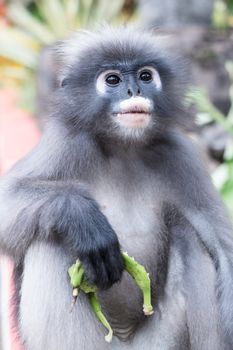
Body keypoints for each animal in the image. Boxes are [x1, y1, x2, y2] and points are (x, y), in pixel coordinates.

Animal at [0, 27, 233, 350]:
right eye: (113, 80)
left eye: (146, 76)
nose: (134, 91)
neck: (124, 148)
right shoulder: (66, 142)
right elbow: (8, 198)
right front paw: (83, 217)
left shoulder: (182, 156)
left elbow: (223, 250)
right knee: (48, 239)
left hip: (160, 341)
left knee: (192, 238)